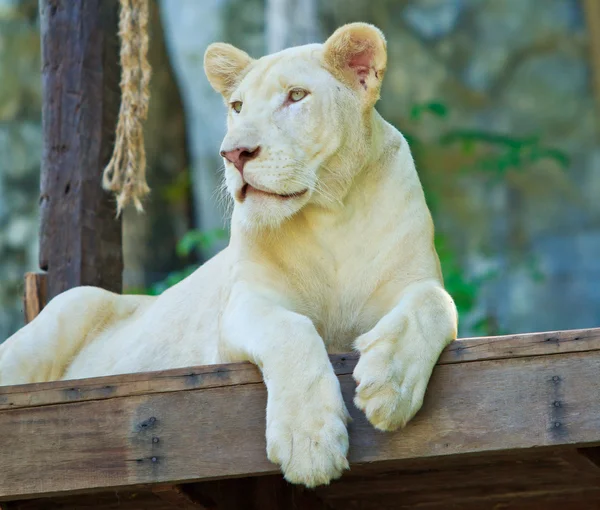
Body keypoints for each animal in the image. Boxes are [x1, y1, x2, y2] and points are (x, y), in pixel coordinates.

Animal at [1, 22, 454, 486]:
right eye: (237, 106)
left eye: (296, 96)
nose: (234, 153)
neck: (331, 215)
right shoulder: (242, 307)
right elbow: (291, 330)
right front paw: (310, 442)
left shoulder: (417, 281)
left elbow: (435, 304)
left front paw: (389, 387)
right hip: (69, 307)